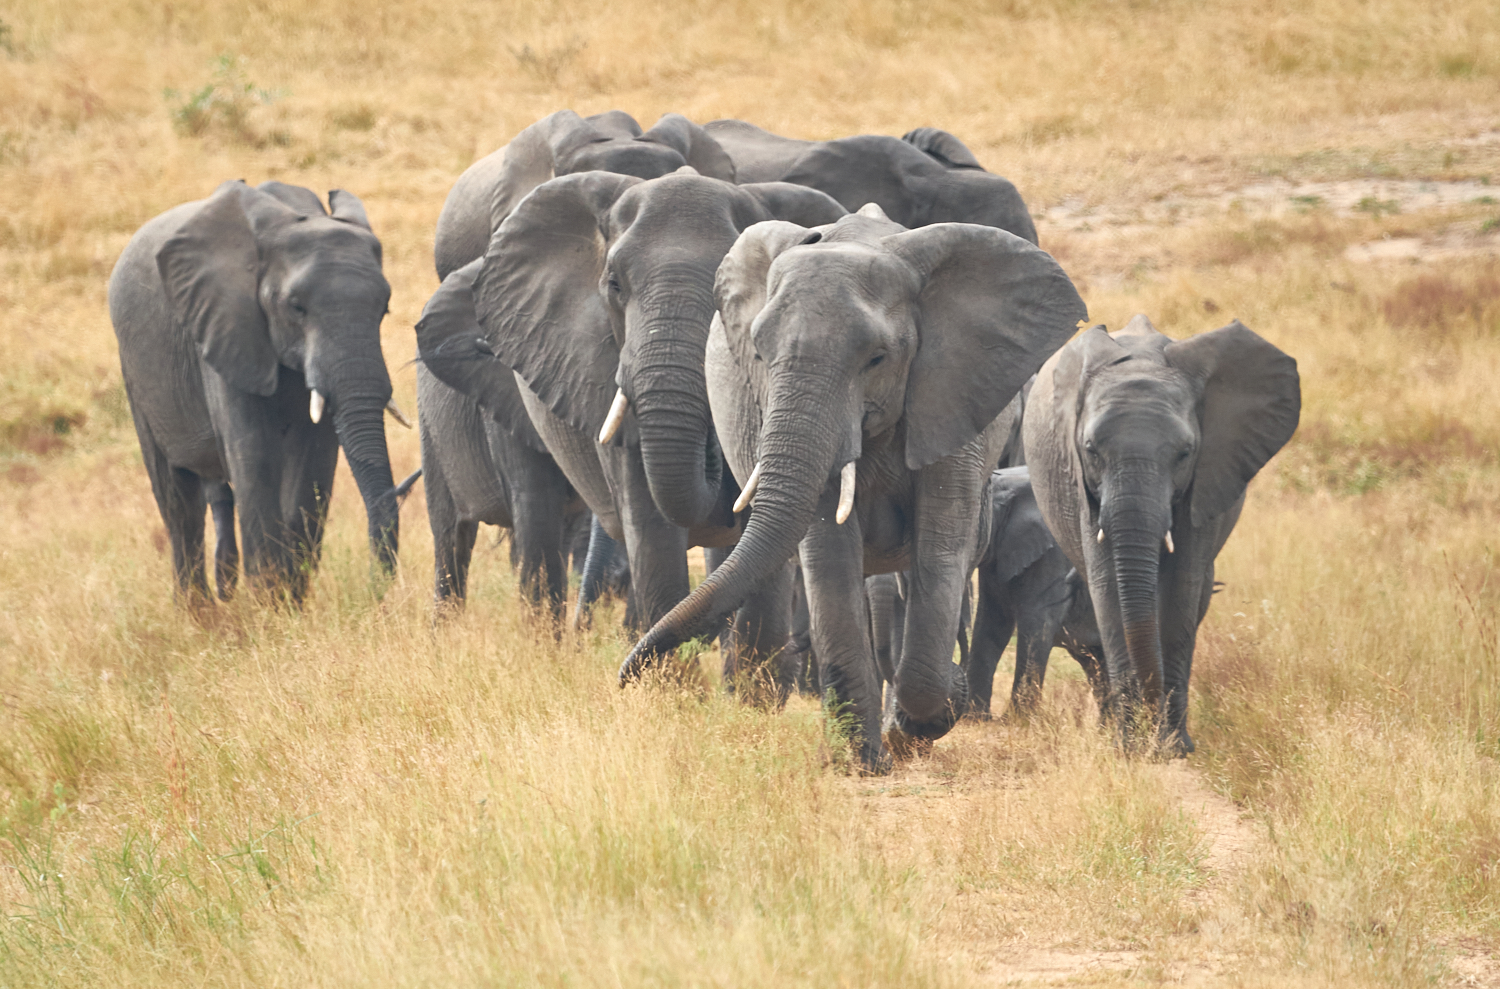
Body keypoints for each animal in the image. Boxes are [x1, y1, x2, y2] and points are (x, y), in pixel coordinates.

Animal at [615, 205, 1086, 768]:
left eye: (877, 359)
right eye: (758, 353)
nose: (622, 678)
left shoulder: (951, 393)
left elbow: (941, 548)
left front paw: (925, 716)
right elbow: (828, 553)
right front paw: (860, 762)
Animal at [1020, 313, 1302, 753]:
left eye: (1185, 453)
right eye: (1091, 450)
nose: (1152, 731)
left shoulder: (1206, 476)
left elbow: (1181, 589)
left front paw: (1171, 748)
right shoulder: (1082, 489)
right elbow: (1107, 588)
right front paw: (1130, 748)